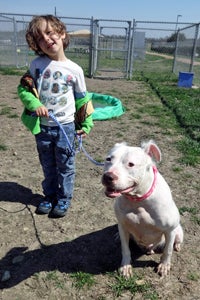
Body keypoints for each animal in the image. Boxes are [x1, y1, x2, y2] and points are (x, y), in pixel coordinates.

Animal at [102, 140, 184, 276]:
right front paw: (125, 266)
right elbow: (125, 249)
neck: (138, 199)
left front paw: (164, 265)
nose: (108, 176)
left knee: (175, 242)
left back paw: (177, 246)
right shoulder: (123, 225)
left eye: (131, 164)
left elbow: (167, 250)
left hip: (178, 231)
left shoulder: (170, 230)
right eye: (108, 159)